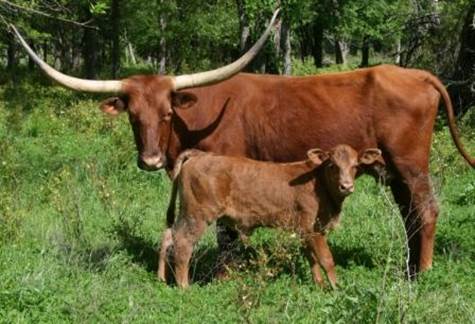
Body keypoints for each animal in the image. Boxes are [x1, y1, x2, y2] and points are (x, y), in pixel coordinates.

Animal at [159, 146, 384, 288]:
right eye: (333, 165)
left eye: (355, 166)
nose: (346, 186)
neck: (318, 182)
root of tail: (200, 155)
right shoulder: (313, 228)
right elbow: (326, 259)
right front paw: (336, 288)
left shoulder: (303, 231)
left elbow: (311, 257)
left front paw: (319, 284)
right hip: (197, 215)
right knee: (183, 243)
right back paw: (184, 286)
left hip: (185, 213)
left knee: (168, 236)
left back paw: (162, 278)